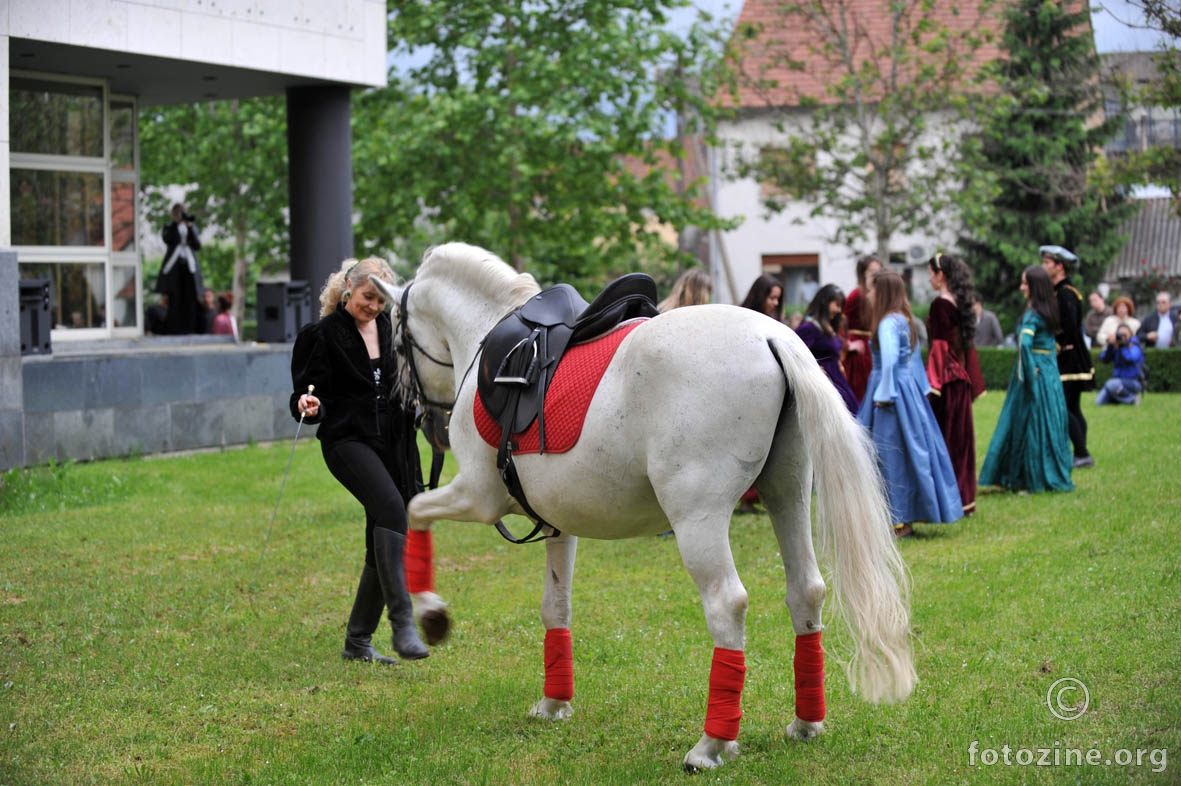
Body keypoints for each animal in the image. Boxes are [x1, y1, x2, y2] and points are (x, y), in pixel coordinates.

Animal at [377, 241, 911, 769]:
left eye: (399, 344)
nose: (426, 423)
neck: (492, 335)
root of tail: (770, 336)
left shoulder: (476, 496)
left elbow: (415, 510)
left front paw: (432, 615)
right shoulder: (557, 526)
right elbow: (555, 607)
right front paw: (554, 702)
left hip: (697, 519)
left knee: (727, 604)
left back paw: (712, 743)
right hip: (789, 495)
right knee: (806, 592)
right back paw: (805, 723)